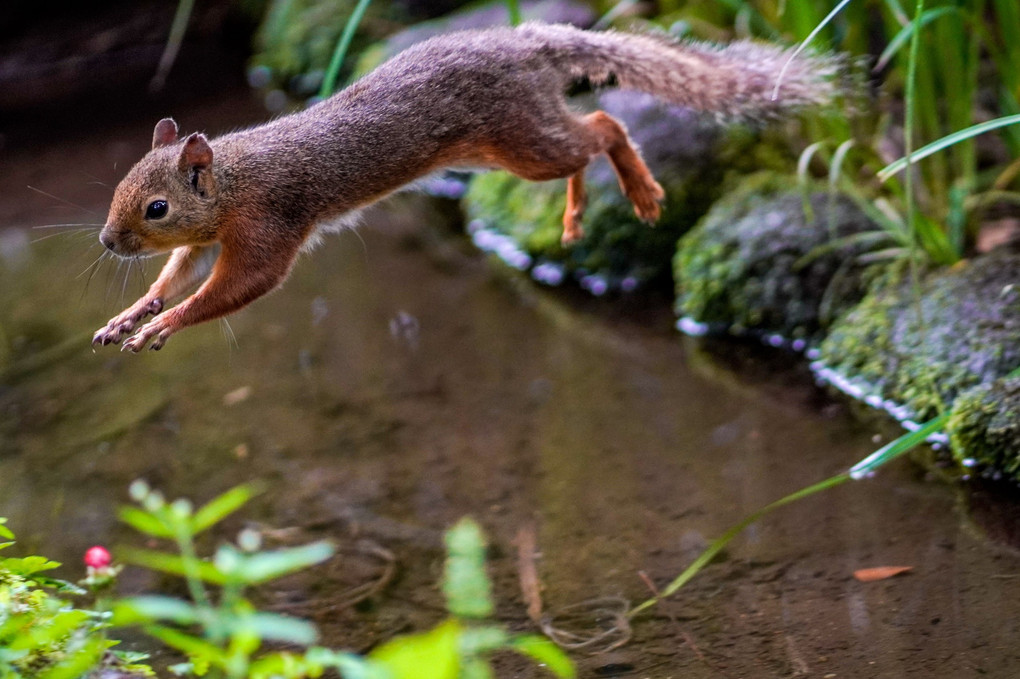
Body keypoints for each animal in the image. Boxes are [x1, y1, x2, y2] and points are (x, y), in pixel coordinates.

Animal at [93, 22, 844, 348]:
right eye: (119, 188)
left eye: (156, 207)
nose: (106, 240)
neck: (233, 179)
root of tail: (525, 44)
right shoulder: (206, 238)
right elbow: (180, 272)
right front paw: (132, 312)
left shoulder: (267, 226)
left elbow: (238, 286)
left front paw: (164, 323)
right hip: (502, 155)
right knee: (581, 147)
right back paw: (576, 214)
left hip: (521, 142)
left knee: (602, 127)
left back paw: (642, 190)